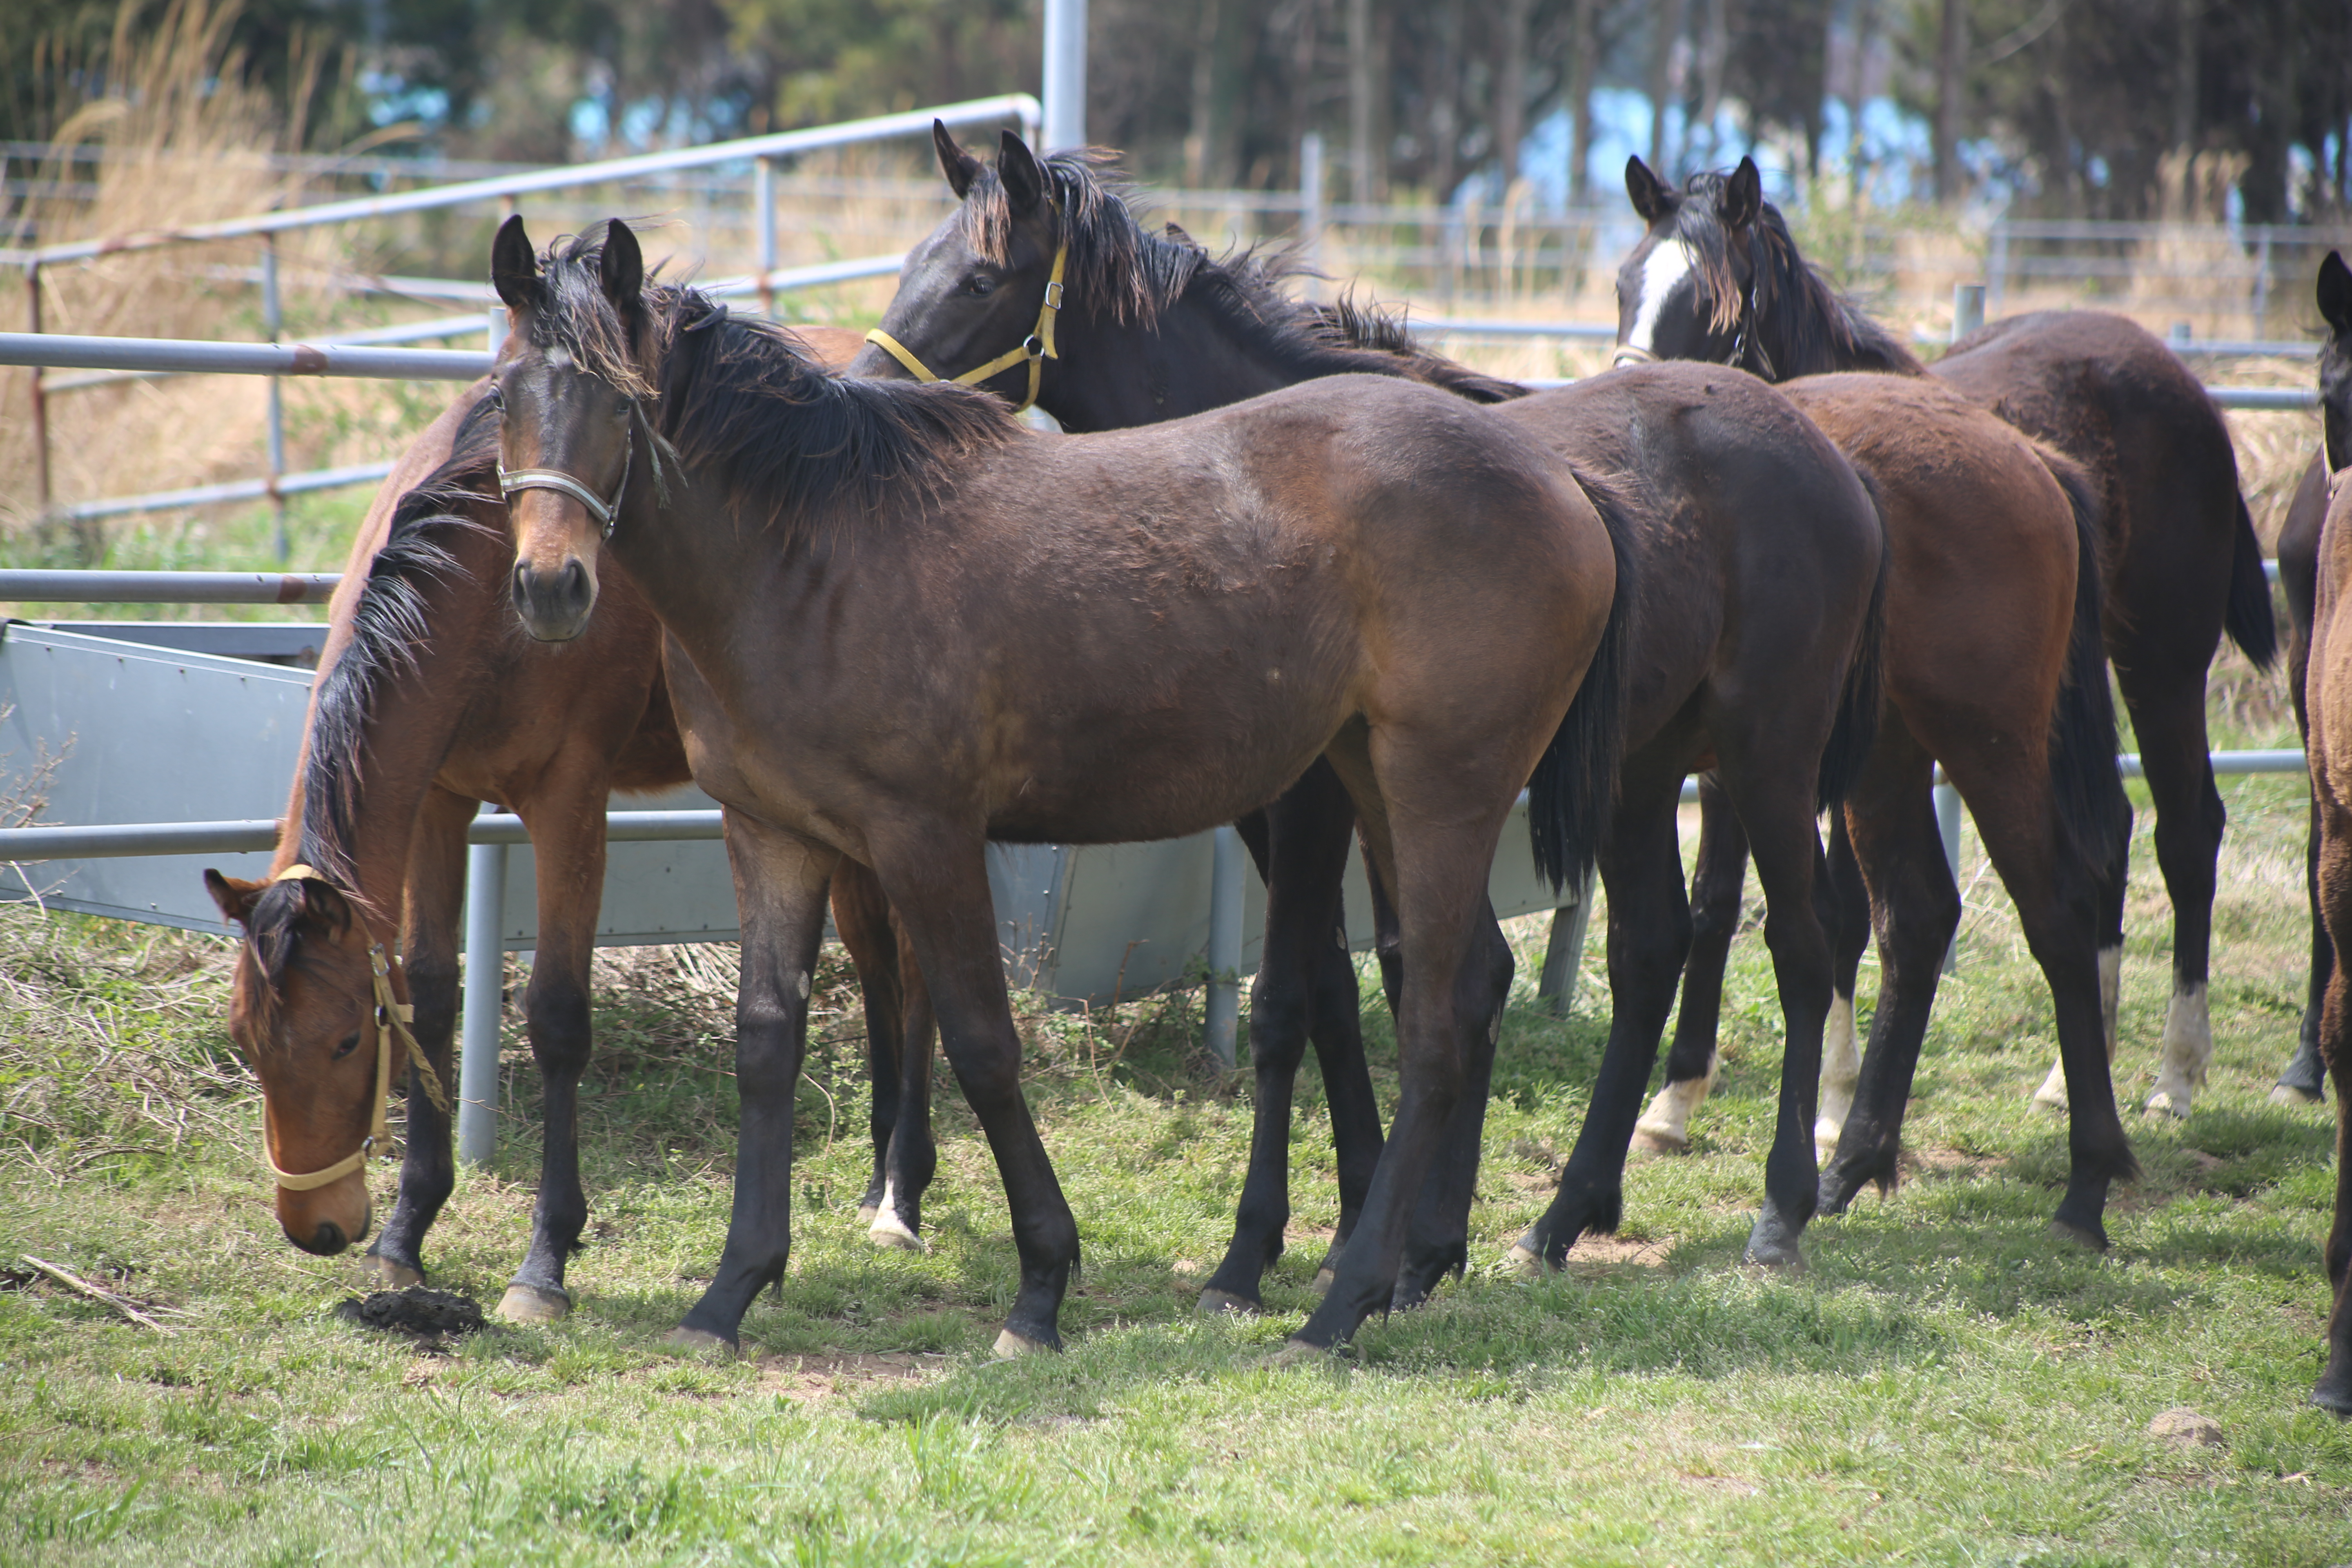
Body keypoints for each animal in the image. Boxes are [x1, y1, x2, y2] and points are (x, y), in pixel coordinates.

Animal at [197, 324, 941, 1316]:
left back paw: (904, 1192)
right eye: (245, 1041)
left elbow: (556, 1017)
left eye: (347, 1039)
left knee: (916, 970)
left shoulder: (569, 800)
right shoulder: (440, 800)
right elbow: (433, 993)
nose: (314, 1227)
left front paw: (546, 1258)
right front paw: (407, 1231)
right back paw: (878, 1179)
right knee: (881, 965)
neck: (483, 587)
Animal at [491, 217, 1637, 1363]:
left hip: (1442, 786)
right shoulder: (768, 832)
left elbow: (983, 1049)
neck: (808, 559)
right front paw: (730, 1290)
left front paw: (1040, 1287)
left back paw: (1341, 1303)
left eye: (624, 402)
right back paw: (1405, 1267)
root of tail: (1558, 476)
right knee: (1460, 990)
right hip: (1371, 777)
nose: (550, 588)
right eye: (503, 395)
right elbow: (767, 1042)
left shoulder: (927, 839)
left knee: (1435, 1025)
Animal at [1618, 153, 2276, 1128]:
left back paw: (2175, 1075)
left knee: (2187, 835)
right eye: (1626, 285)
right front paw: (1677, 1099)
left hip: (2162, 666)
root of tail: (2182, 382)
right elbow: (1721, 899)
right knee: (2109, 831)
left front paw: (1832, 1099)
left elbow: (1843, 911)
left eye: (1714, 308)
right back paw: (2072, 1072)